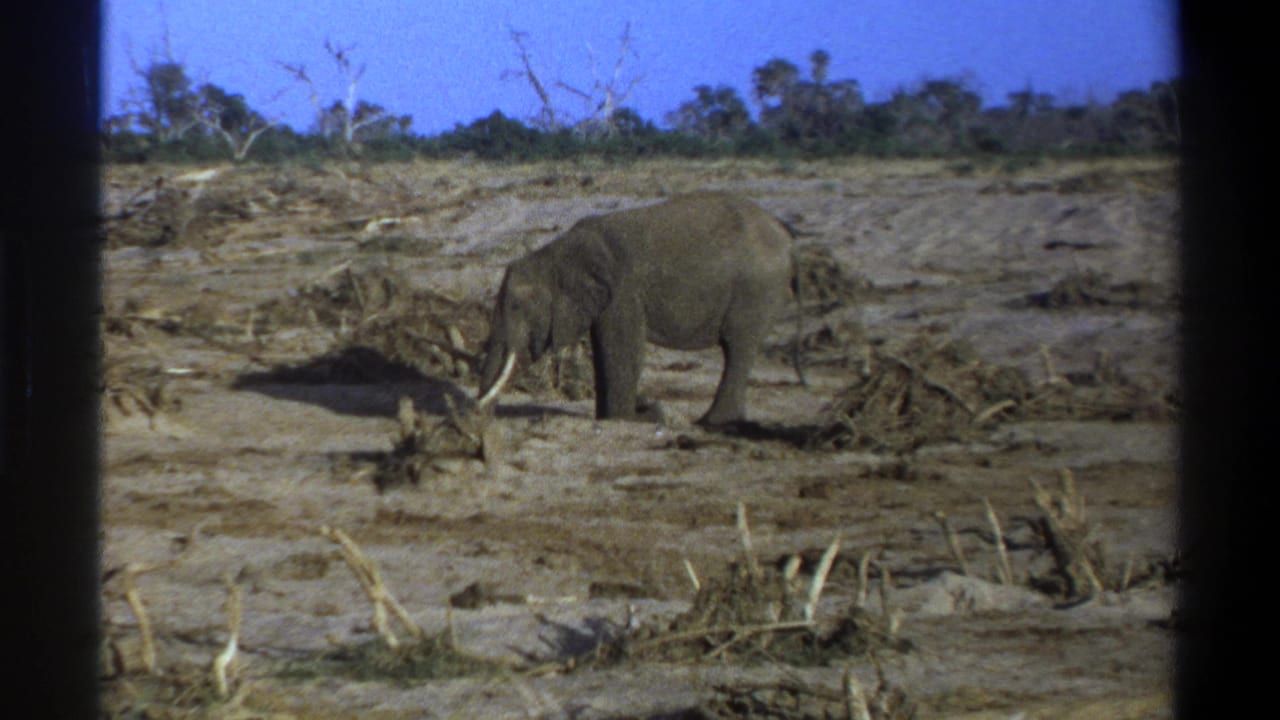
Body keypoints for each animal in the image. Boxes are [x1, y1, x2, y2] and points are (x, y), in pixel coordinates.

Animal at [476, 191, 795, 426]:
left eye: (516, 306)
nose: (486, 420)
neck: (556, 251)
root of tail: (785, 233)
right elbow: (604, 349)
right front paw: (613, 416)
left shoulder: (623, 291)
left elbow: (623, 348)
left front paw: (633, 418)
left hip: (757, 290)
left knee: (738, 347)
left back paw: (711, 423)